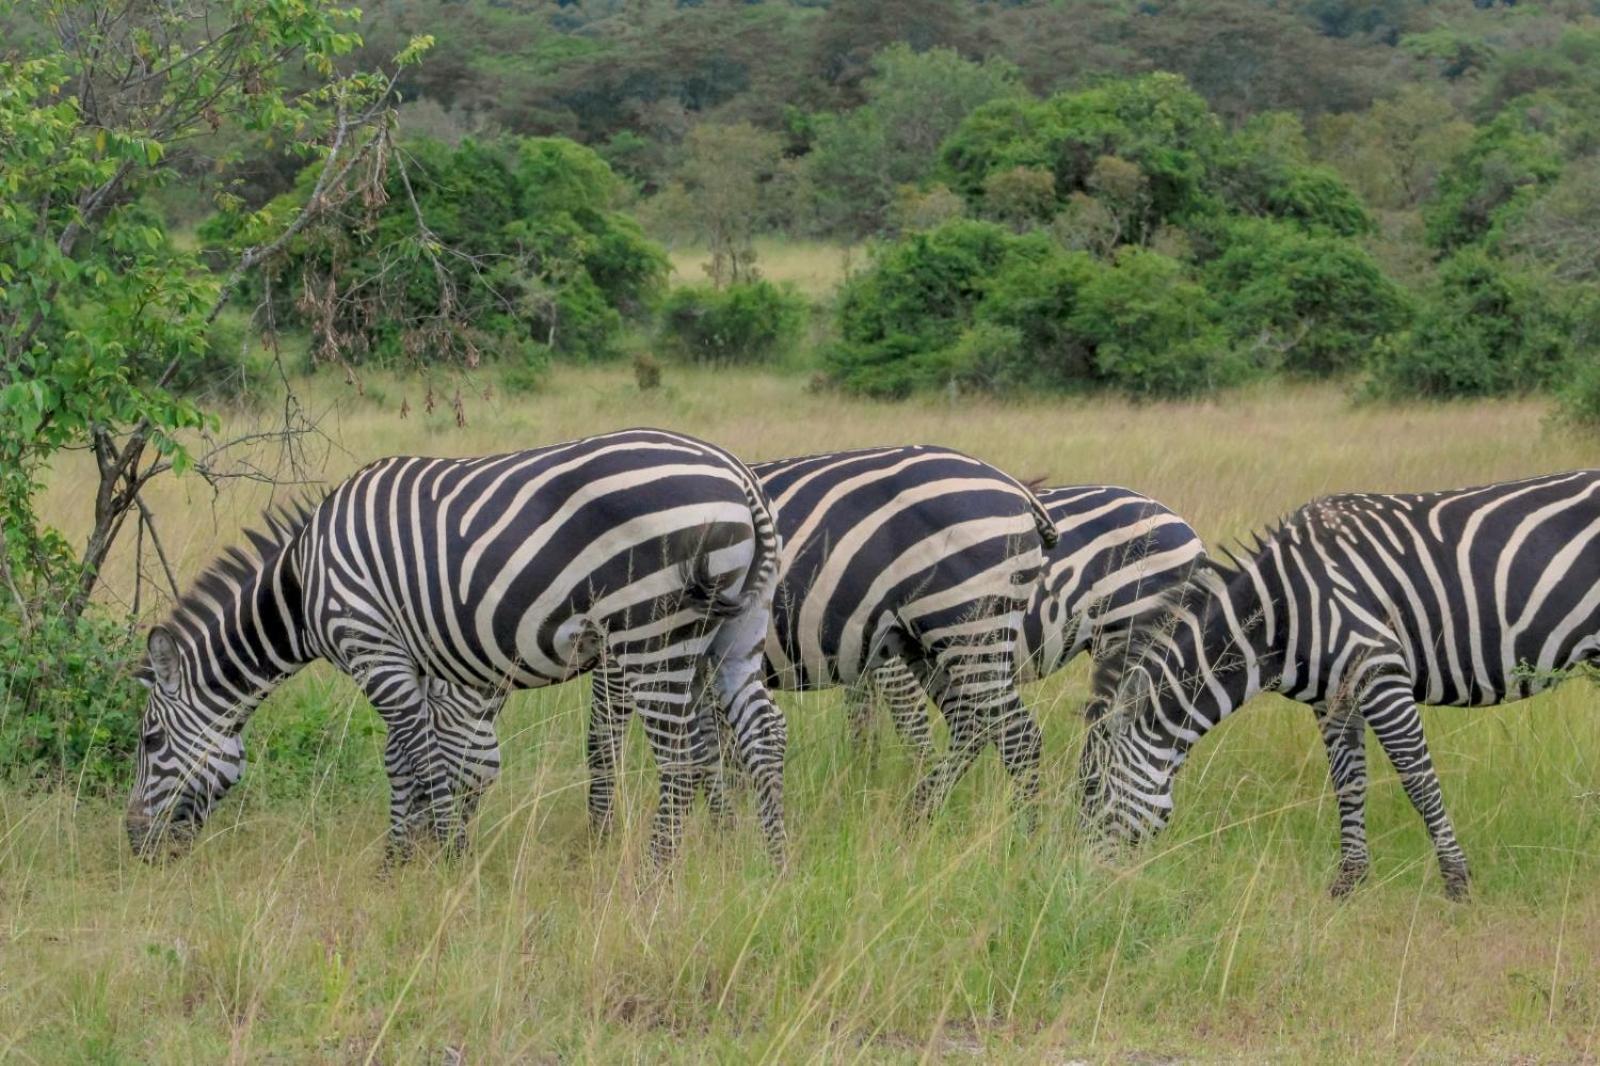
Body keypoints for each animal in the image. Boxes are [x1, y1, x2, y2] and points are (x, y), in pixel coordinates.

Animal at [121, 422, 784, 864]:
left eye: (149, 740)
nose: (133, 843)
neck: (303, 582)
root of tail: (738, 474)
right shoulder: (411, 660)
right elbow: (408, 757)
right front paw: (403, 857)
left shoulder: (372, 647)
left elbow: (421, 754)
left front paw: (443, 855)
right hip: (735, 631)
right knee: (763, 732)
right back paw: (774, 864)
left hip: (650, 630)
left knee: (679, 755)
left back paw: (656, 874)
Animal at [588, 438, 1062, 819]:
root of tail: (1016, 488)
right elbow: (721, 754)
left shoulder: (627, 649)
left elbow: (602, 744)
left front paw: (602, 836)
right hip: (930, 639)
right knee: (972, 723)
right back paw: (918, 819)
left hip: (969, 625)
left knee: (1016, 736)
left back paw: (1024, 837)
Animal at [1081, 470, 1600, 889]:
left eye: (1092, 797)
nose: (1094, 884)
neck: (1279, 614)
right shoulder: (1333, 698)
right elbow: (1348, 782)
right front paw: (1349, 883)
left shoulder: (1378, 670)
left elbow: (1418, 780)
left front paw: (1456, 882)